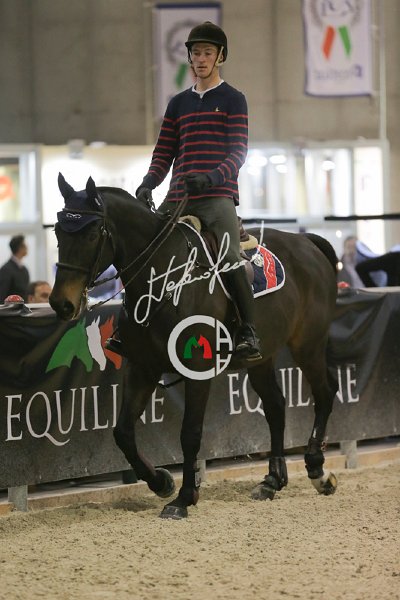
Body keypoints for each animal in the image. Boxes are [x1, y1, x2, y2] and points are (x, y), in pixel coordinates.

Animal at [50, 173, 339, 519]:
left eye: (93, 234)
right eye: (58, 231)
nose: (61, 304)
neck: (164, 277)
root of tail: (308, 244)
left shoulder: (197, 369)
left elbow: (189, 434)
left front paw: (184, 498)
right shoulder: (142, 367)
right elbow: (123, 432)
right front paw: (161, 482)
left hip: (308, 345)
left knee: (324, 393)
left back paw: (317, 470)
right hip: (262, 358)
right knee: (276, 407)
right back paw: (271, 481)